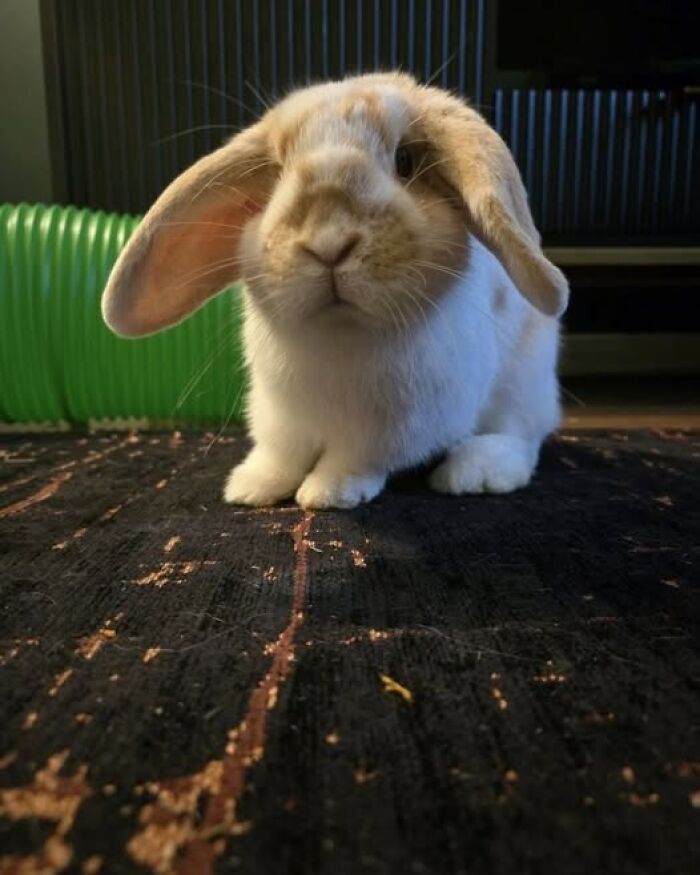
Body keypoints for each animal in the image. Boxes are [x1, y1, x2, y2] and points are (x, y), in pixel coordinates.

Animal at [102, 72, 569, 509]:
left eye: (405, 161)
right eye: (276, 175)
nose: (328, 244)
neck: (337, 333)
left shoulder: (393, 428)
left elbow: (353, 460)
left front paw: (328, 493)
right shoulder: (278, 415)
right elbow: (280, 455)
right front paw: (250, 488)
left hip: (523, 382)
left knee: (524, 435)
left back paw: (473, 472)